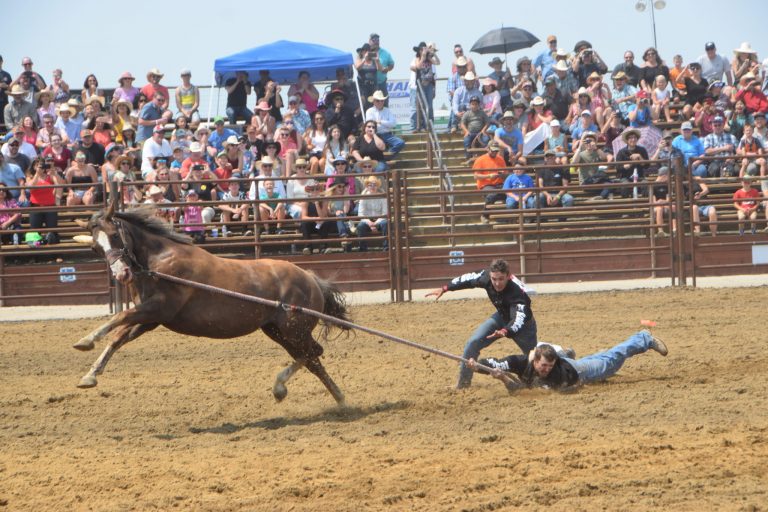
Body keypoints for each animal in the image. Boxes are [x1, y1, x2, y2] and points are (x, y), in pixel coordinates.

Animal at [73, 204, 350, 404]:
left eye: (114, 235)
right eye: (96, 248)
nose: (121, 274)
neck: (158, 262)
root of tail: (311, 279)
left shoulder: (158, 308)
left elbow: (118, 318)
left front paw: (85, 341)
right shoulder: (151, 319)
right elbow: (118, 336)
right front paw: (89, 375)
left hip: (294, 330)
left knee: (313, 353)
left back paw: (282, 386)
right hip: (278, 331)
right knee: (312, 358)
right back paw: (338, 399)